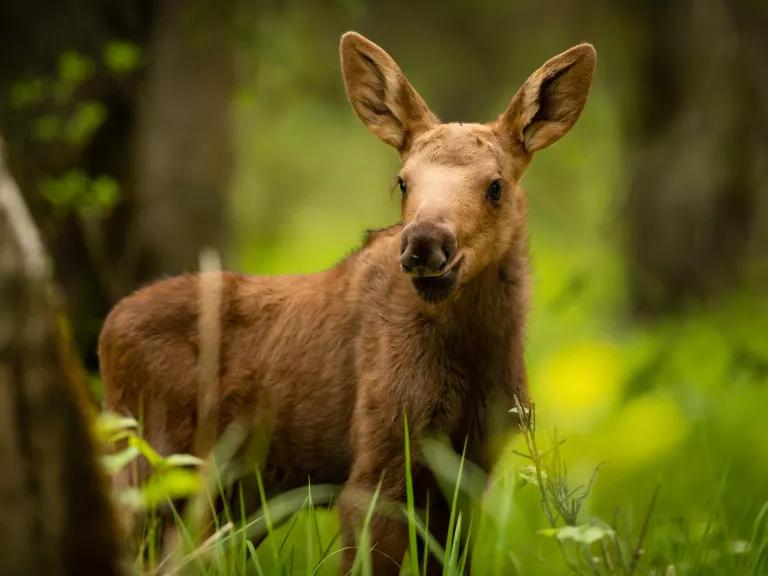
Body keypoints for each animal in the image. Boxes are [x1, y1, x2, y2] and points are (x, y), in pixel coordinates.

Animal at [99, 31, 595, 574]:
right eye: (403, 181)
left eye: (496, 186)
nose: (424, 243)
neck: (472, 352)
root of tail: (107, 330)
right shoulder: (378, 460)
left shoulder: (470, 469)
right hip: (155, 463)